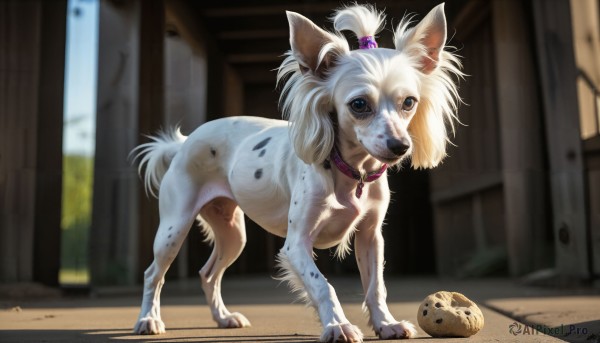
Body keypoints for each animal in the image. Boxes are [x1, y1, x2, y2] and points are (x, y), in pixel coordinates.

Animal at [130, 2, 460, 342]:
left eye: (409, 102)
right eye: (359, 104)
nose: (400, 146)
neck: (351, 173)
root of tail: (183, 143)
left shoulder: (371, 238)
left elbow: (376, 287)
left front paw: (386, 323)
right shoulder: (296, 245)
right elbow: (322, 285)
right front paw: (338, 325)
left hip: (232, 235)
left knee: (209, 274)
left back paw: (223, 317)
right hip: (173, 229)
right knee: (153, 274)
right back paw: (148, 319)